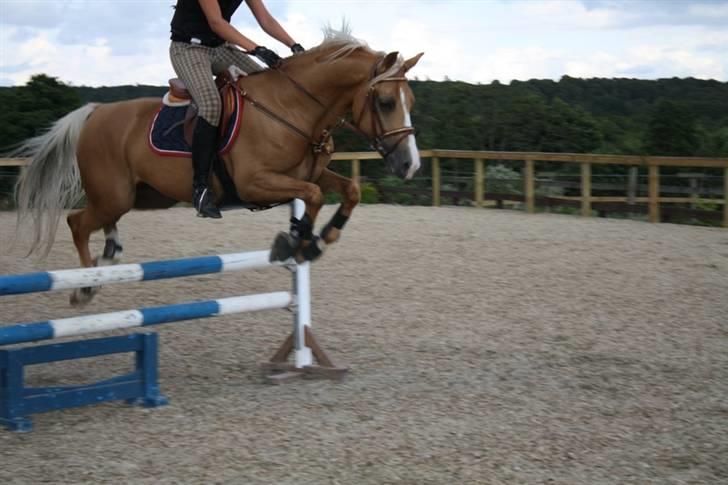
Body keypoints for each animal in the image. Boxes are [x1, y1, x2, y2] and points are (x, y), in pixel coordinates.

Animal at [14, 28, 424, 304]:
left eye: (412, 101)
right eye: (386, 102)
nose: (410, 165)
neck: (294, 108)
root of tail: (95, 111)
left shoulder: (307, 173)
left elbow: (348, 191)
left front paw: (321, 239)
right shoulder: (256, 182)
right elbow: (313, 196)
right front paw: (295, 242)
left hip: (139, 196)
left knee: (101, 223)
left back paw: (110, 253)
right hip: (113, 194)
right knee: (77, 222)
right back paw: (85, 286)